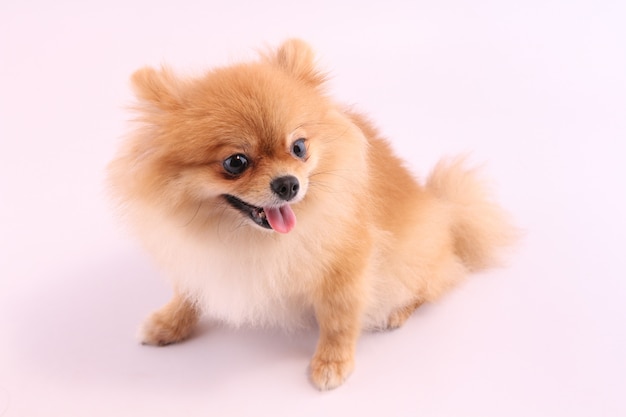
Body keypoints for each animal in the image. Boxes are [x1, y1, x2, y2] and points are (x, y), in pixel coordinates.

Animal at [107, 39, 516, 390]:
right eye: (235, 162)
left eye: (299, 148)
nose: (288, 184)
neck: (246, 237)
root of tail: (444, 209)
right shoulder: (198, 257)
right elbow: (188, 292)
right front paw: (168, 323)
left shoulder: (345, 266)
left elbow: (339, 319)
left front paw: (332, 363)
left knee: (432, 282)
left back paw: (397, 311)